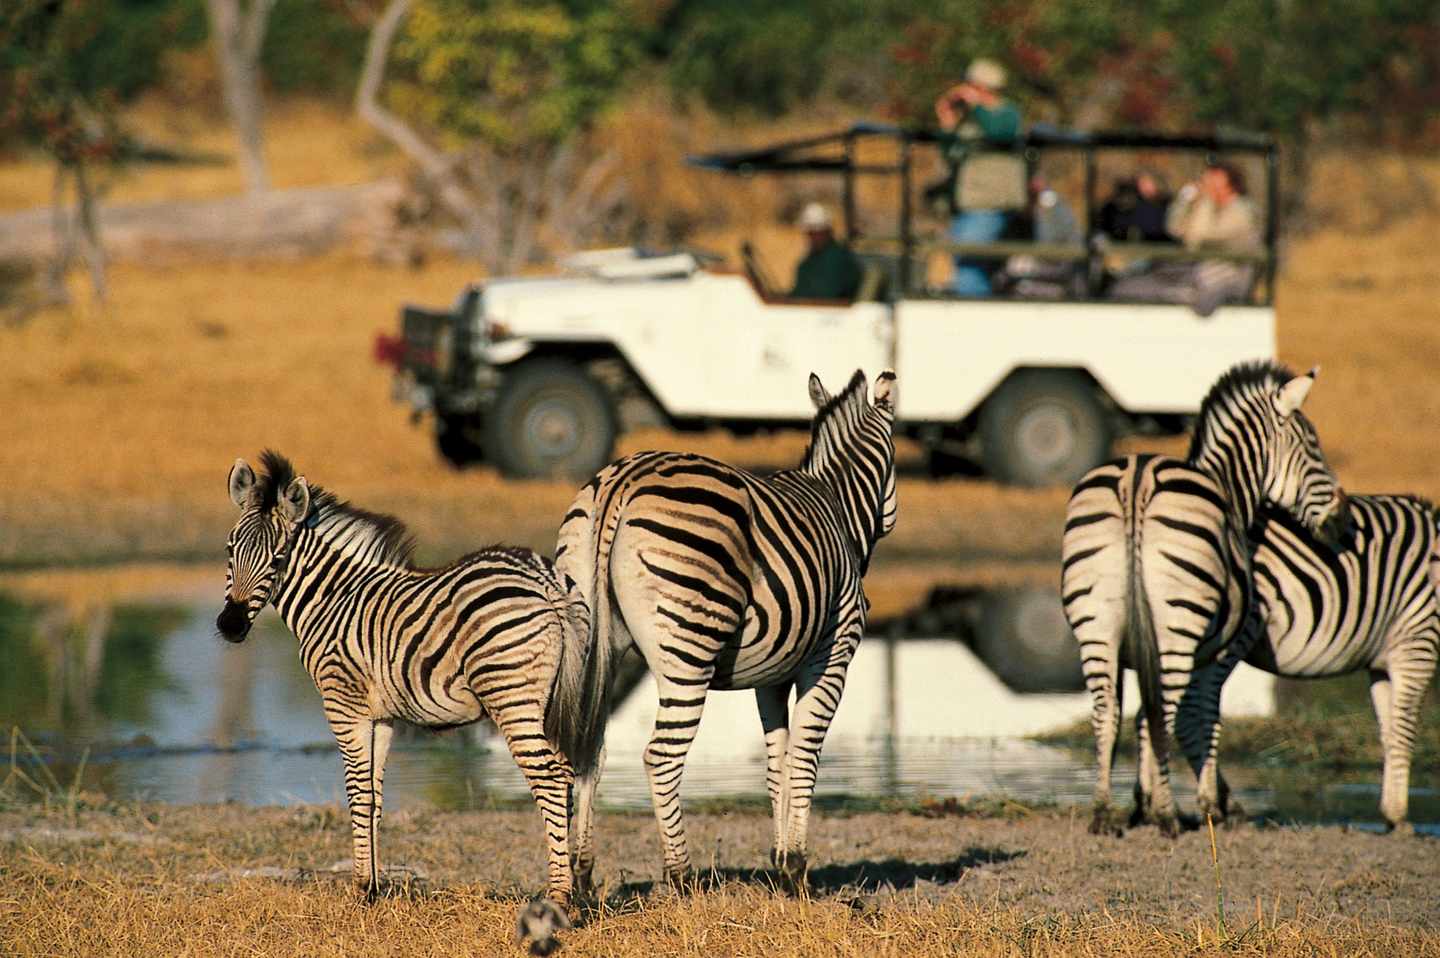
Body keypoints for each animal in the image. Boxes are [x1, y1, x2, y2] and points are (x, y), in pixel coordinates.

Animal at [216, 451, 607, 909]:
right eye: (229, 550)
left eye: (277, 560)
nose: (230, 625)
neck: (334, 599)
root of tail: (544, 580)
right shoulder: (381, 715)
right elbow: (374, 795)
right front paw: (374, 887)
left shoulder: (342, 702)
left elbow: (356, 791)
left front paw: (360, 889)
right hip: (557, 696)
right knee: (572, 769)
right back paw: (575, 888)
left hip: (510, 695)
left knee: (550, 775)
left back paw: (559, 896)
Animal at [553, 369, 897, 892]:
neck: (837, 506)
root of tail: (621, 480)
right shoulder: (831, 655)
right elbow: (805, 755)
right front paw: (797, 868)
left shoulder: (771, 673)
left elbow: (777, 759)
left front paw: (779, 859)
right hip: (689, 647)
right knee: (661, 757)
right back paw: (681, 876)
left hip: (592, 640)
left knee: (590, 747)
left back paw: (584, 876)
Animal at [1061, 360, 1352, 837]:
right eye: (1313, 447)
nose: (1343, 523)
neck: (1229, 491)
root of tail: (1137, 478)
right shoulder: (1219, 653)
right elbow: (1203, 717)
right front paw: (1204, 804)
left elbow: (1139, 718)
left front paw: (1141, 803)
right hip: (1179, 625)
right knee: (1166, 709)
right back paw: (1167, 816)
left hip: (1096, 625)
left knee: (1106, 712)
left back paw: (1103, 812)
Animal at [1175, 494, 1440, 833]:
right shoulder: (1417, 640)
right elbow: (1404, 731)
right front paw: (1399, 817)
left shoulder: (1382, 663)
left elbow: (1389, 729)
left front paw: (1391, 813)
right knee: (1194, 710)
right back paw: (1217, 807)